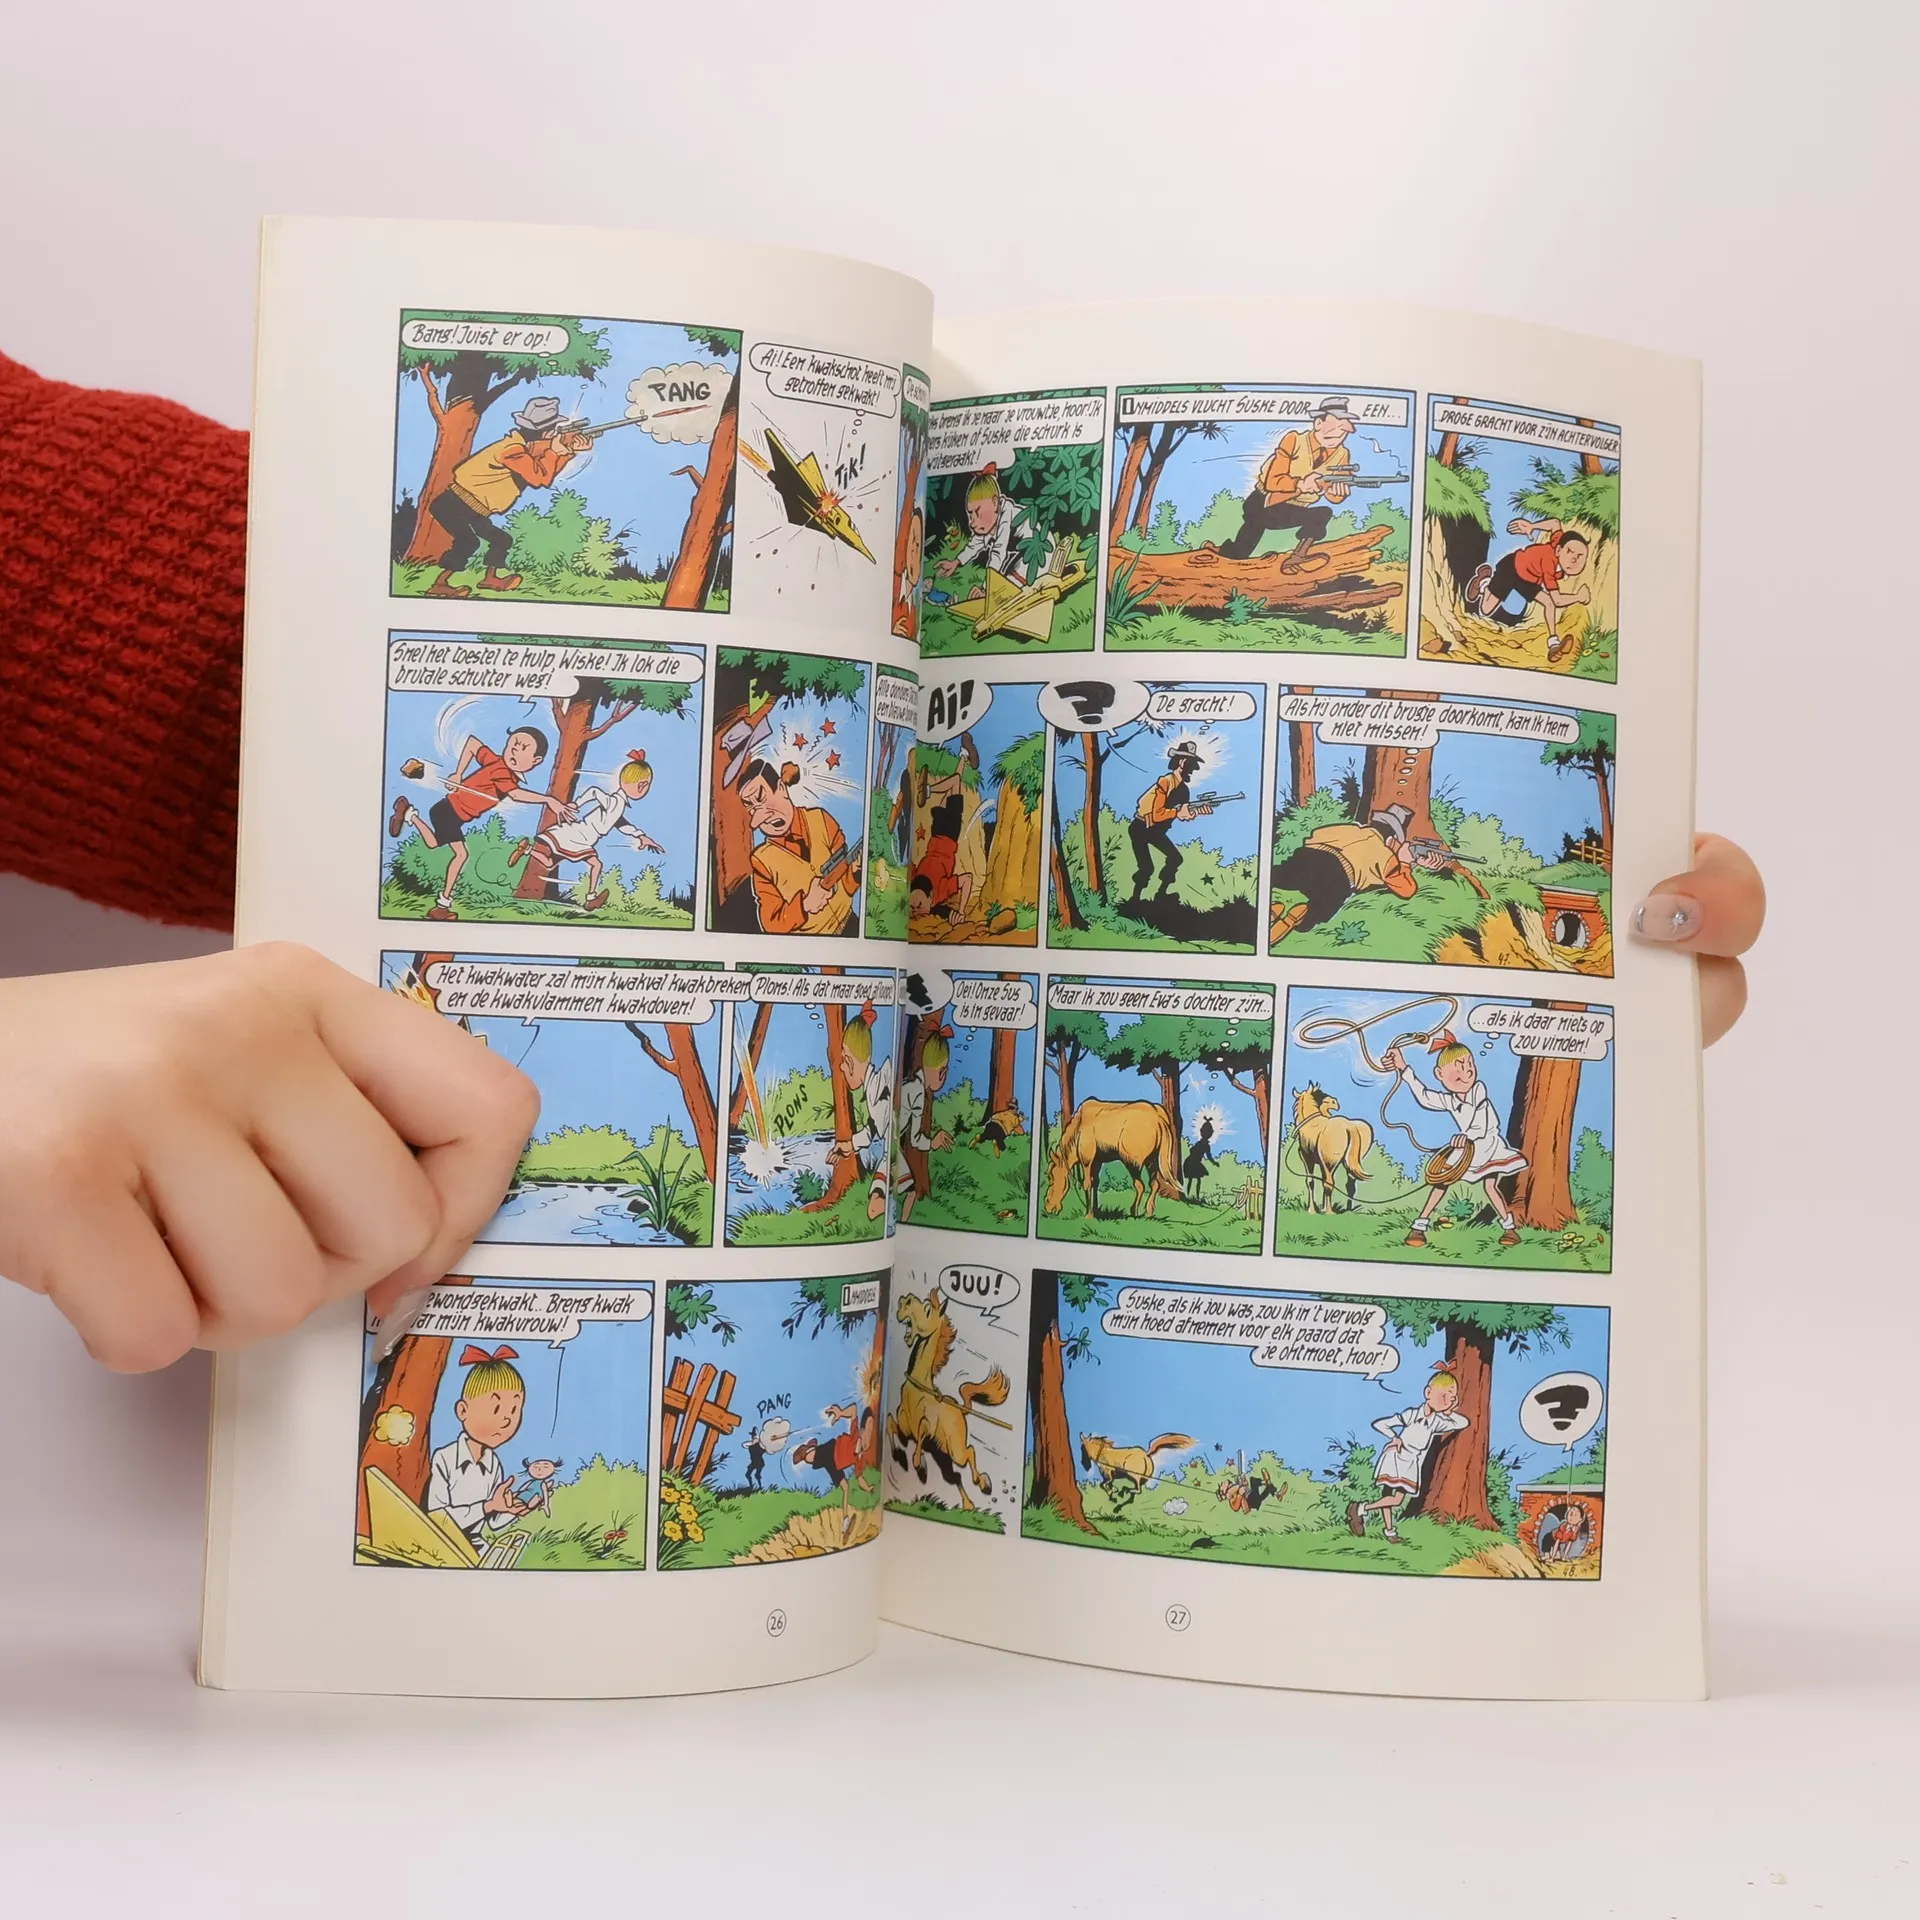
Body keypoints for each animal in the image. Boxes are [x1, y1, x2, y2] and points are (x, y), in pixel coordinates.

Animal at [887, 1292, 1009, 1511]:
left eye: (928, 1309)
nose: (904, 1299)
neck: (918, 1388)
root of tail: (961, 1410)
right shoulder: (904, 1428)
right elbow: (890, 1424)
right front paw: (899, 1456)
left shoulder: (926, 1427)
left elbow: (922, 1433)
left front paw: (920, 1466)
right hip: (943, 1454)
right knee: (955, 1476)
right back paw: (968, 1504)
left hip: (954, 1450)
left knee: (969, 1453)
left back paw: (982, 1483)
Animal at [1043, 1099, 1183, 1219]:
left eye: (1050, 1177)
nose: (1048, 1206)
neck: (1077, 1130)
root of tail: (1159, 1119)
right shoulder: (1097, 1161)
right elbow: (1095, 1182)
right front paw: (1096, 1210)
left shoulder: (1087, 1160)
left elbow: (1087, 1184)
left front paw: (1089, 1214)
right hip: (1152, 1161)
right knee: (1155, 1184)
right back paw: (1149, 1211)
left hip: (1131, 1161)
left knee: (1140, 1186)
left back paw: (1134, 1211)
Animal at [1292, 1082, 1373, 1214]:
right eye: (1320, 1094)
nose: (1335, 1102)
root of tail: (1349, 1126)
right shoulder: (1320, 1162)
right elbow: (1318, 1180)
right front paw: (1320, 1208)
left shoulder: (1309, 1158)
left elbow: (1311, 1182)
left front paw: (1313, 1210)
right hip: (1348, 1163)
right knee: (1349, 1185)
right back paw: (1348, 1211)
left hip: (1330, 1161)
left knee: (1330, 1182)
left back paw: (1330, 1212)